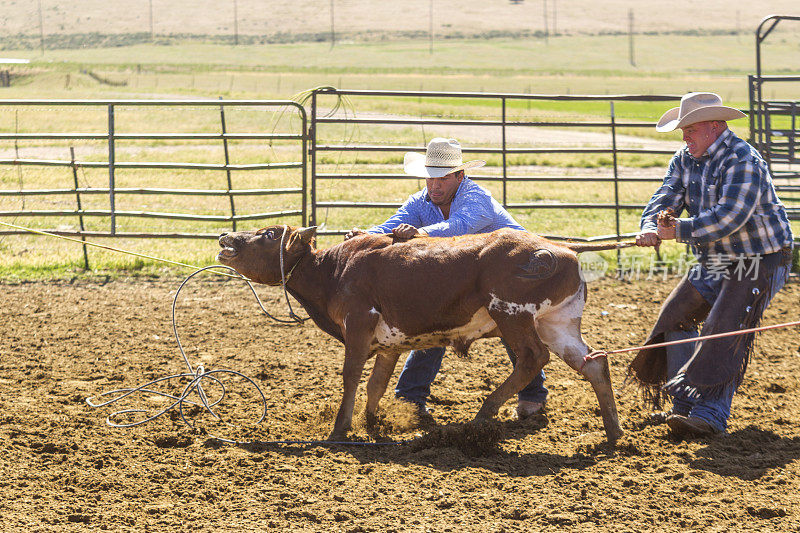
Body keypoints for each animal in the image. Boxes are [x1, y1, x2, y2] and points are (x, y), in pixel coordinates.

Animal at [217, 225, 624, 444]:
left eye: (269, 234)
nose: (224, 238)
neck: (334, 269)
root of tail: (561, 247)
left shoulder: (359, 323)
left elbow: (351, 376)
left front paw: (340, 428)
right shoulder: (388, 342)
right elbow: (377, 383)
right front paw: (372, 422)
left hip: (512, 313)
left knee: (531, 359)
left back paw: (482, 415)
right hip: (556, 323)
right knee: (594, 364)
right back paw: (614, 432)